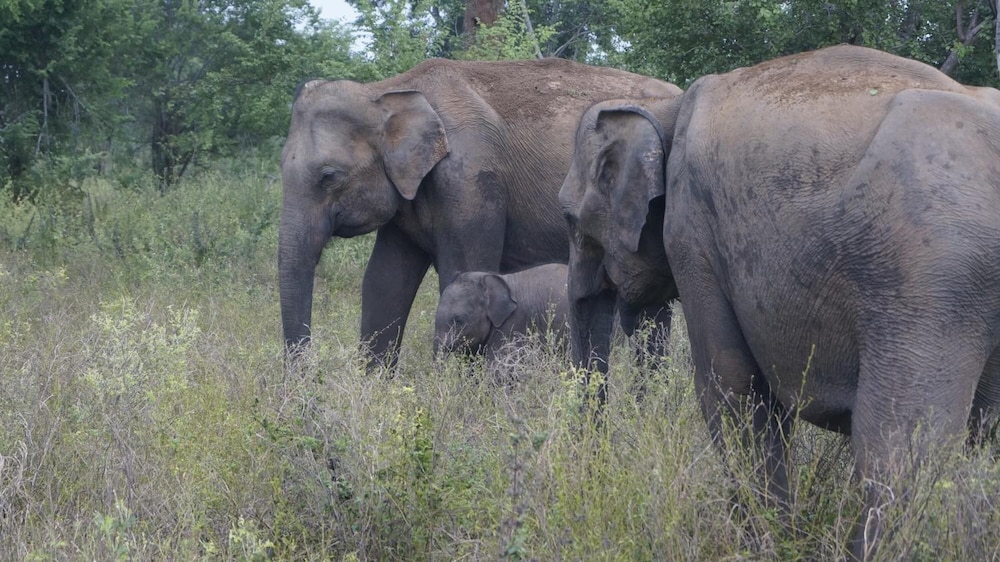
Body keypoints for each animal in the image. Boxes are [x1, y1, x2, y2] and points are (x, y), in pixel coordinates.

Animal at [560, 44, 1000, 559]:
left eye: (568, 219)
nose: (593, 479)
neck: (663, 105)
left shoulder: (693, 236)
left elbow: (730, 384)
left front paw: (768, 545)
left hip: (925, 280)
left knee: (897, 444)